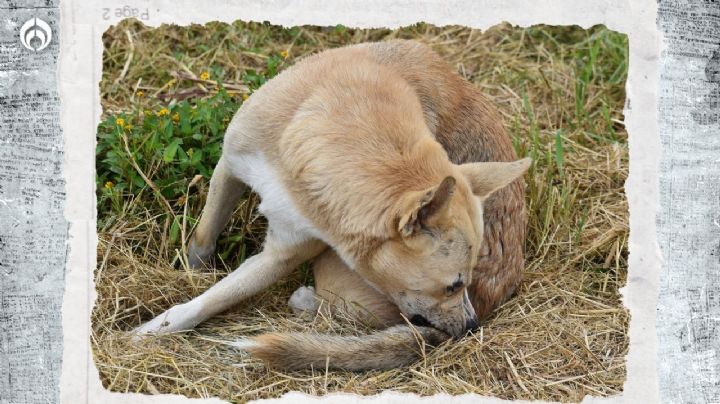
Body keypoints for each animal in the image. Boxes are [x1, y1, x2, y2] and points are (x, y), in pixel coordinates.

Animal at [135, 39, 528, 370]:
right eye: (453, 285)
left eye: (464, 283)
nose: (472, 327)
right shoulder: (230, 167)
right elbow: (203, 239)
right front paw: (189, 273)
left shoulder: (282, 255)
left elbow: (214, 298)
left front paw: (155, 328)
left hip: (333, 275)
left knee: (337, 312)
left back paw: (306, 303)